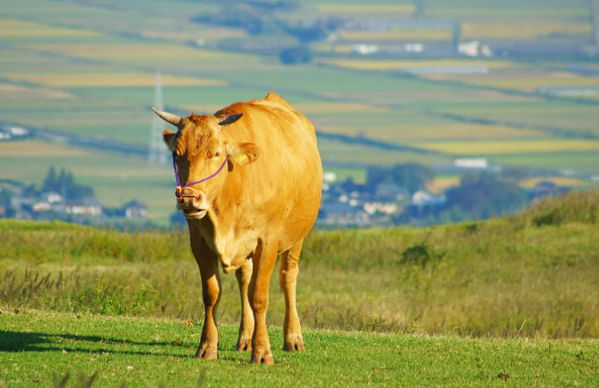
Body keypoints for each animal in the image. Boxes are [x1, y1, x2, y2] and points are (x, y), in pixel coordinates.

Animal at [154, 91, 324, 364]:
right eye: (177, 154)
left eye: (215, 153)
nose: (189, 198)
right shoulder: (198, 241)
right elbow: (212, 293)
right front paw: (207, 346)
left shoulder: (267, 241)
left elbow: (259, 296)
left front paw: (262, 351)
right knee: (244, 279)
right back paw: (245, 338)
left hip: (296, 237)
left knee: (288, 278)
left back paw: (293, 337)